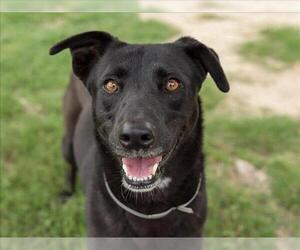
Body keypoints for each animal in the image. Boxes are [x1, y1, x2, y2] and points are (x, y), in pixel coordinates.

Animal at [49, 31, 229, 236]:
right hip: (68, 141)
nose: (135, 138)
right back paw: (66, 193)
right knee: (69, 166)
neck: (150, 204)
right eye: (110, 85)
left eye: (172, 84)